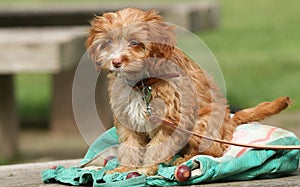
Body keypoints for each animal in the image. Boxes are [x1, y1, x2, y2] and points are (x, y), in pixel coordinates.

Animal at [85, 8, 290, 175]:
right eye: (108, 42)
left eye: (134, 42)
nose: (116, 62)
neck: (143, 83)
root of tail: (229, 121)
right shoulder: (128, 118)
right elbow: (130, 145)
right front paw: (124, 168)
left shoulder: (170, 120)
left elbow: (157, 147)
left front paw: (146, 168)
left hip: (200, 125)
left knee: (214, 150)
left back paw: (185, 159)